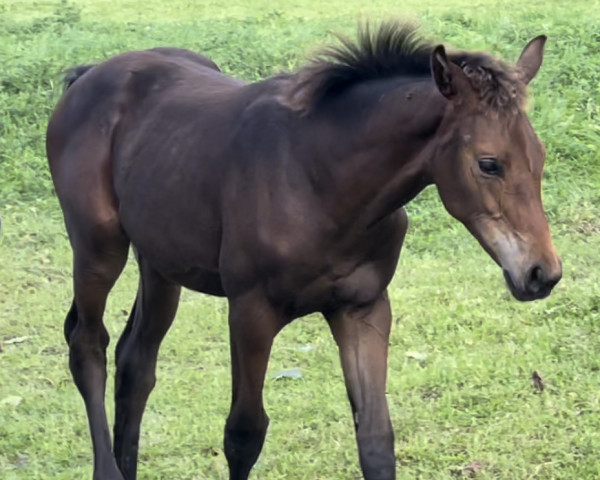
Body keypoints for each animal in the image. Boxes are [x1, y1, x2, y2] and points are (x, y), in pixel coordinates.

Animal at [47, 22, 564, 480]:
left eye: (539, 156)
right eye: (489, 164)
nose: (542, 273)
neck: (321, 181)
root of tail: (90, 75)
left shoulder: (364, 308)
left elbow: (375, 438)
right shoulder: (250, 312)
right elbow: (244, 434)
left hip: (160, 262)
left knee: (136, 362)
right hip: (98, 246)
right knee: (87, 344)